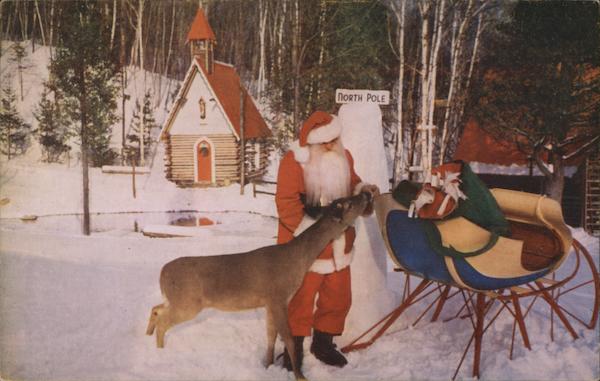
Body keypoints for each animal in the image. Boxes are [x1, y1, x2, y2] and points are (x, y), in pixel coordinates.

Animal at [145, 193, 370, 380]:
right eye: (349, 203)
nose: (366, 193)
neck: (297, 259)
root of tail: (162, 273)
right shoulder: (278, 296)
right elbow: (288, 338)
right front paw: (300, 376)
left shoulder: (269, 302)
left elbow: (271, 335)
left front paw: (268, 365)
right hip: (188, 302)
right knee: (163, 321)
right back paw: (159, 352)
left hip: (178, 300)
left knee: (156, 308)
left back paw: (148, 334)